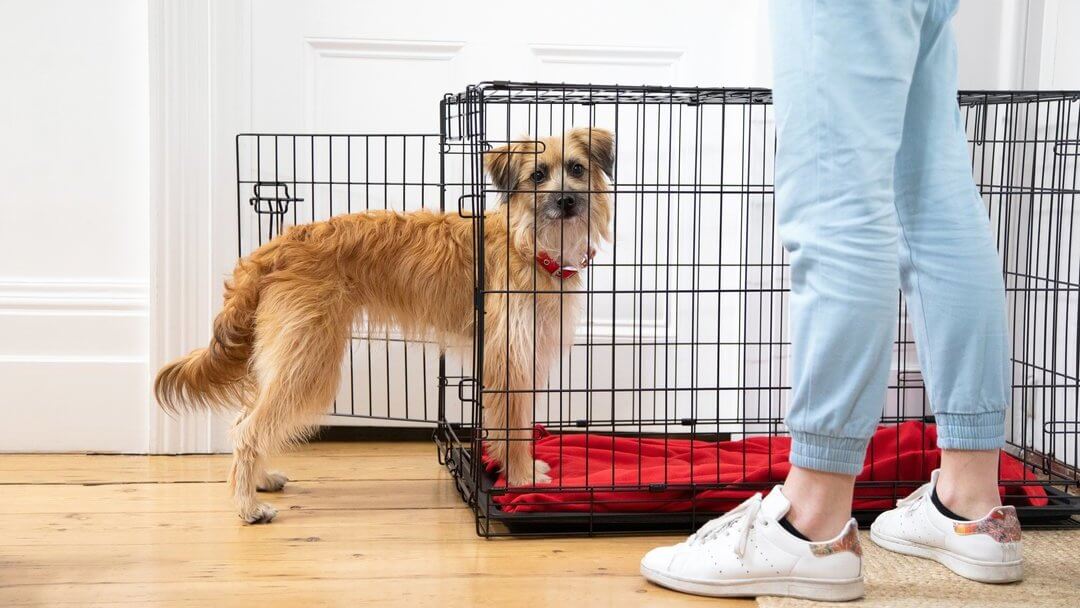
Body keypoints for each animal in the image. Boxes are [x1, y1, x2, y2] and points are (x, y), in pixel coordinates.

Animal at [153, 127, 613, 522]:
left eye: (576, 169)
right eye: (537, 175)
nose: (567, 201)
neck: (528, 242)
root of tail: (275, 246)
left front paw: (518, 470)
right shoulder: (509, 358)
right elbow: (513, 427)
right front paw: (520, 479)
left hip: (287, 356)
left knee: (243, 421)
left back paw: (259, 481)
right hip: (307, 361)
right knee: (249, 429)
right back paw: (247, 506)